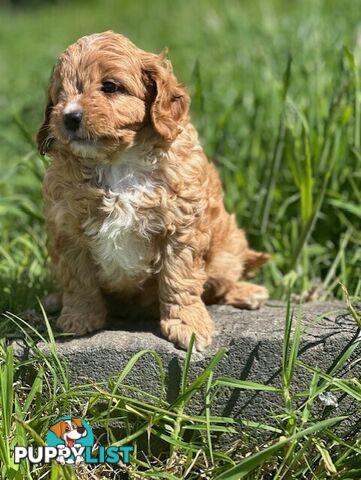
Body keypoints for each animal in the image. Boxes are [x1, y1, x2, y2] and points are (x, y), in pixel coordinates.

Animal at [38, 31, 268, 350]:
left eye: (110, 87)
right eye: (60, 95)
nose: (69, 117)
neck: (117, 162)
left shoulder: (181, 227)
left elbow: (179, 279)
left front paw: (188, 325)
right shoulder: (68, 230)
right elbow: (78, 280)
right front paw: (80, 318)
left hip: (226, 249)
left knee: (221, 281)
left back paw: (247, 292)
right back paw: (54, 300)